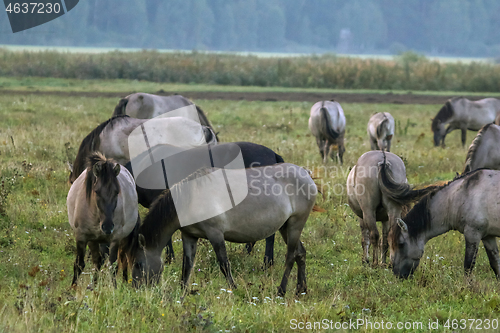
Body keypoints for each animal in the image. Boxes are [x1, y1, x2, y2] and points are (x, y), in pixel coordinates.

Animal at [67, 152, 139, 284]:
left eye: (116, 192)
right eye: (96, 191)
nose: (108, 227)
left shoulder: (115, 238)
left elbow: (113, 266)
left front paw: (115, 288)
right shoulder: (81, 236)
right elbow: (79, 265)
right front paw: (72, 287)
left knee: (119, 260)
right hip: (93, 240)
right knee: (97, 261)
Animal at [129, 162, 316, 294]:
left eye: (138, 264)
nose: (137, 289)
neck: (191, 198)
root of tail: (305, 173)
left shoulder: (215, 234)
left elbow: (224, 264)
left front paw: (234, 289)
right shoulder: (189, 236)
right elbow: (187, 265)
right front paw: (182, 293)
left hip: (295, 224)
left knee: (291, 256)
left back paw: (281, 291)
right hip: (285, 227)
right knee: (300, 253)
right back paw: (301, 289)